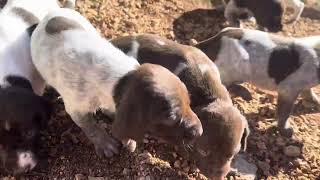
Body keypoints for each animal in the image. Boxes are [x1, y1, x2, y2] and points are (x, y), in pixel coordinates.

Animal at [29, 8, 200, 158]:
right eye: (170, 118)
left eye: (189, 102)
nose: (200, 132)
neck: (121, 75)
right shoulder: (76, 109)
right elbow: (92, 127)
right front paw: (105, 143)